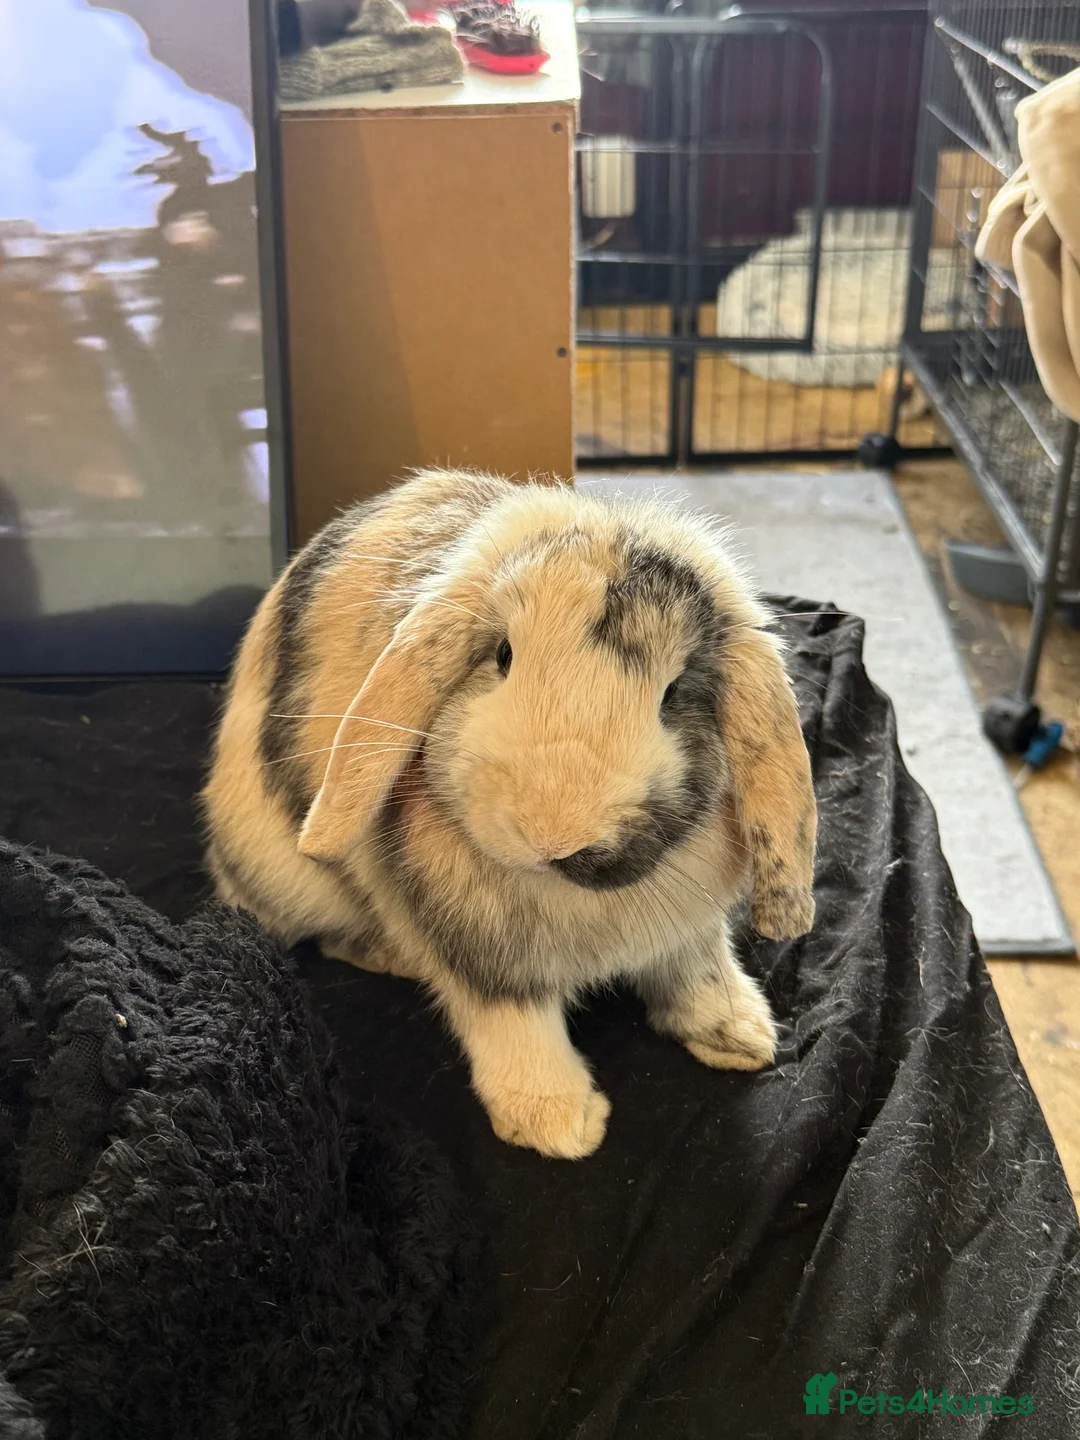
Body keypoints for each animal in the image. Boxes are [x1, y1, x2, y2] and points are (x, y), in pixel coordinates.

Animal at [202, 467, 817, 1159]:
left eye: (675, 693)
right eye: (502, 654)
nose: (552, 833)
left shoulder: (688, 929)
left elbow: (699, 971)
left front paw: (740, 1037)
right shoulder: (481, 955)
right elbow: (515, 1026)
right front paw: (560, 1126)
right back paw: (390, 956)